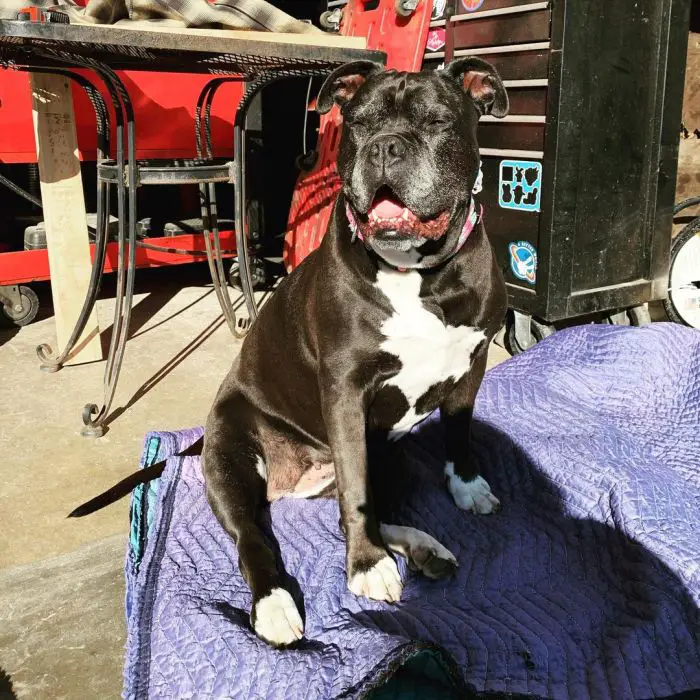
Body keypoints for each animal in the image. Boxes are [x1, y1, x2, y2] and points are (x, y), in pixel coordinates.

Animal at [71, 57, 506, 648]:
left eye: (437, 120)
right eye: (359, 124)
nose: (386, 147)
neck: (419, 274)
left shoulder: (473, 363)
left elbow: (457, 434)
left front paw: (467, 486)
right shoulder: (345, 391)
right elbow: (354, 500)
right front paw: (366, 567)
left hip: (383, 454)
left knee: (354, 509)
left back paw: (420, 546)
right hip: (231, 461)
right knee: (256, 538)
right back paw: (276, 603)